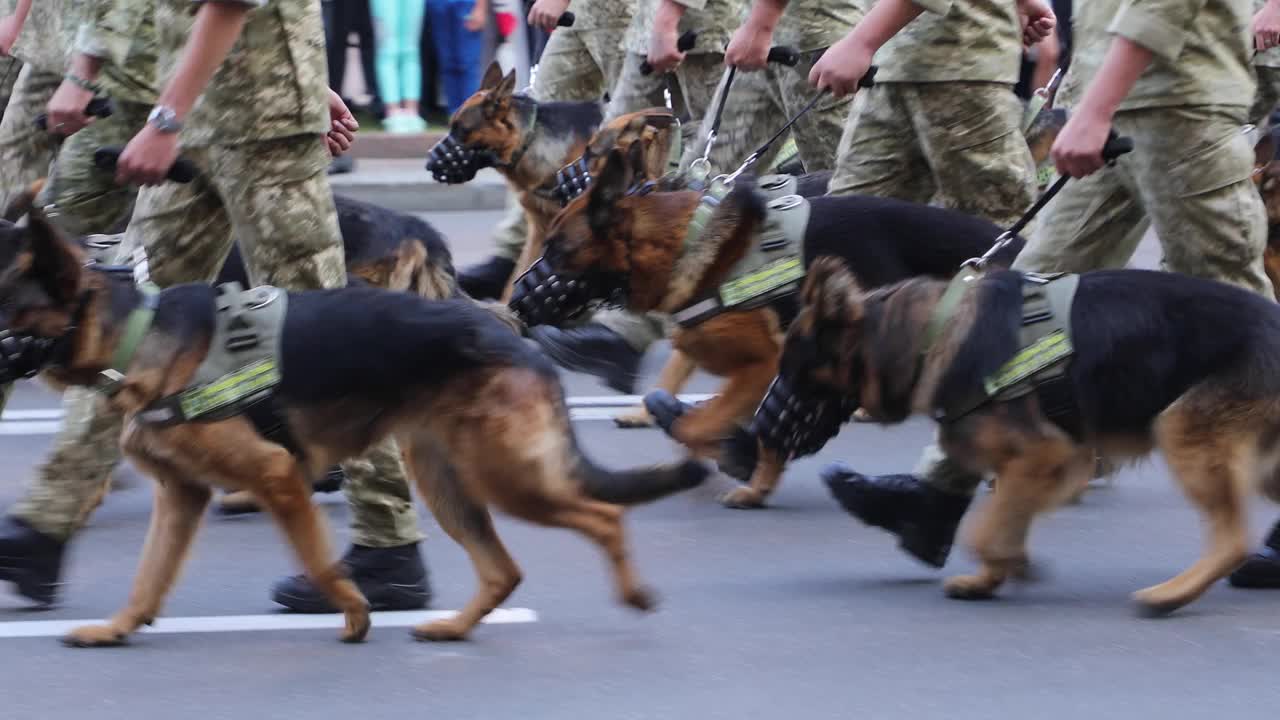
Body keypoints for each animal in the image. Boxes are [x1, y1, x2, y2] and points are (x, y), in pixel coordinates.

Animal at [0, 198, 706, 640]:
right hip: (450, 483)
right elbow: (148, 580)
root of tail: (515, 338)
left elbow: (317, 560)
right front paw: (117, 629)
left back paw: (632, 593)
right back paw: (455, 626)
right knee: (506, 570)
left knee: (603, 515)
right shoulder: (181, 495)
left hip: (508, 480)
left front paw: (353, 611)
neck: (137, 335)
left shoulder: (277, 476)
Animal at [506, 141, 1018, 504]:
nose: (512, 301)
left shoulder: (767, 363)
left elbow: (700, 426)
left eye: (556, 250)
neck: (683, 242)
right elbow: (692, 391)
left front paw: (728, 457)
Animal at [783, 254, 1280, 614]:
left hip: (1181, 432)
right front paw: (992, 576)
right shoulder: (1046, 465)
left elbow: (983, 531)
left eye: (793, 362)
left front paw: (1009, 564)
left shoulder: (1043, 454)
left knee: (1232, 540)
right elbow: (1007, 516)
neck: (929, 333)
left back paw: (1171, 594)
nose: (772, 413)